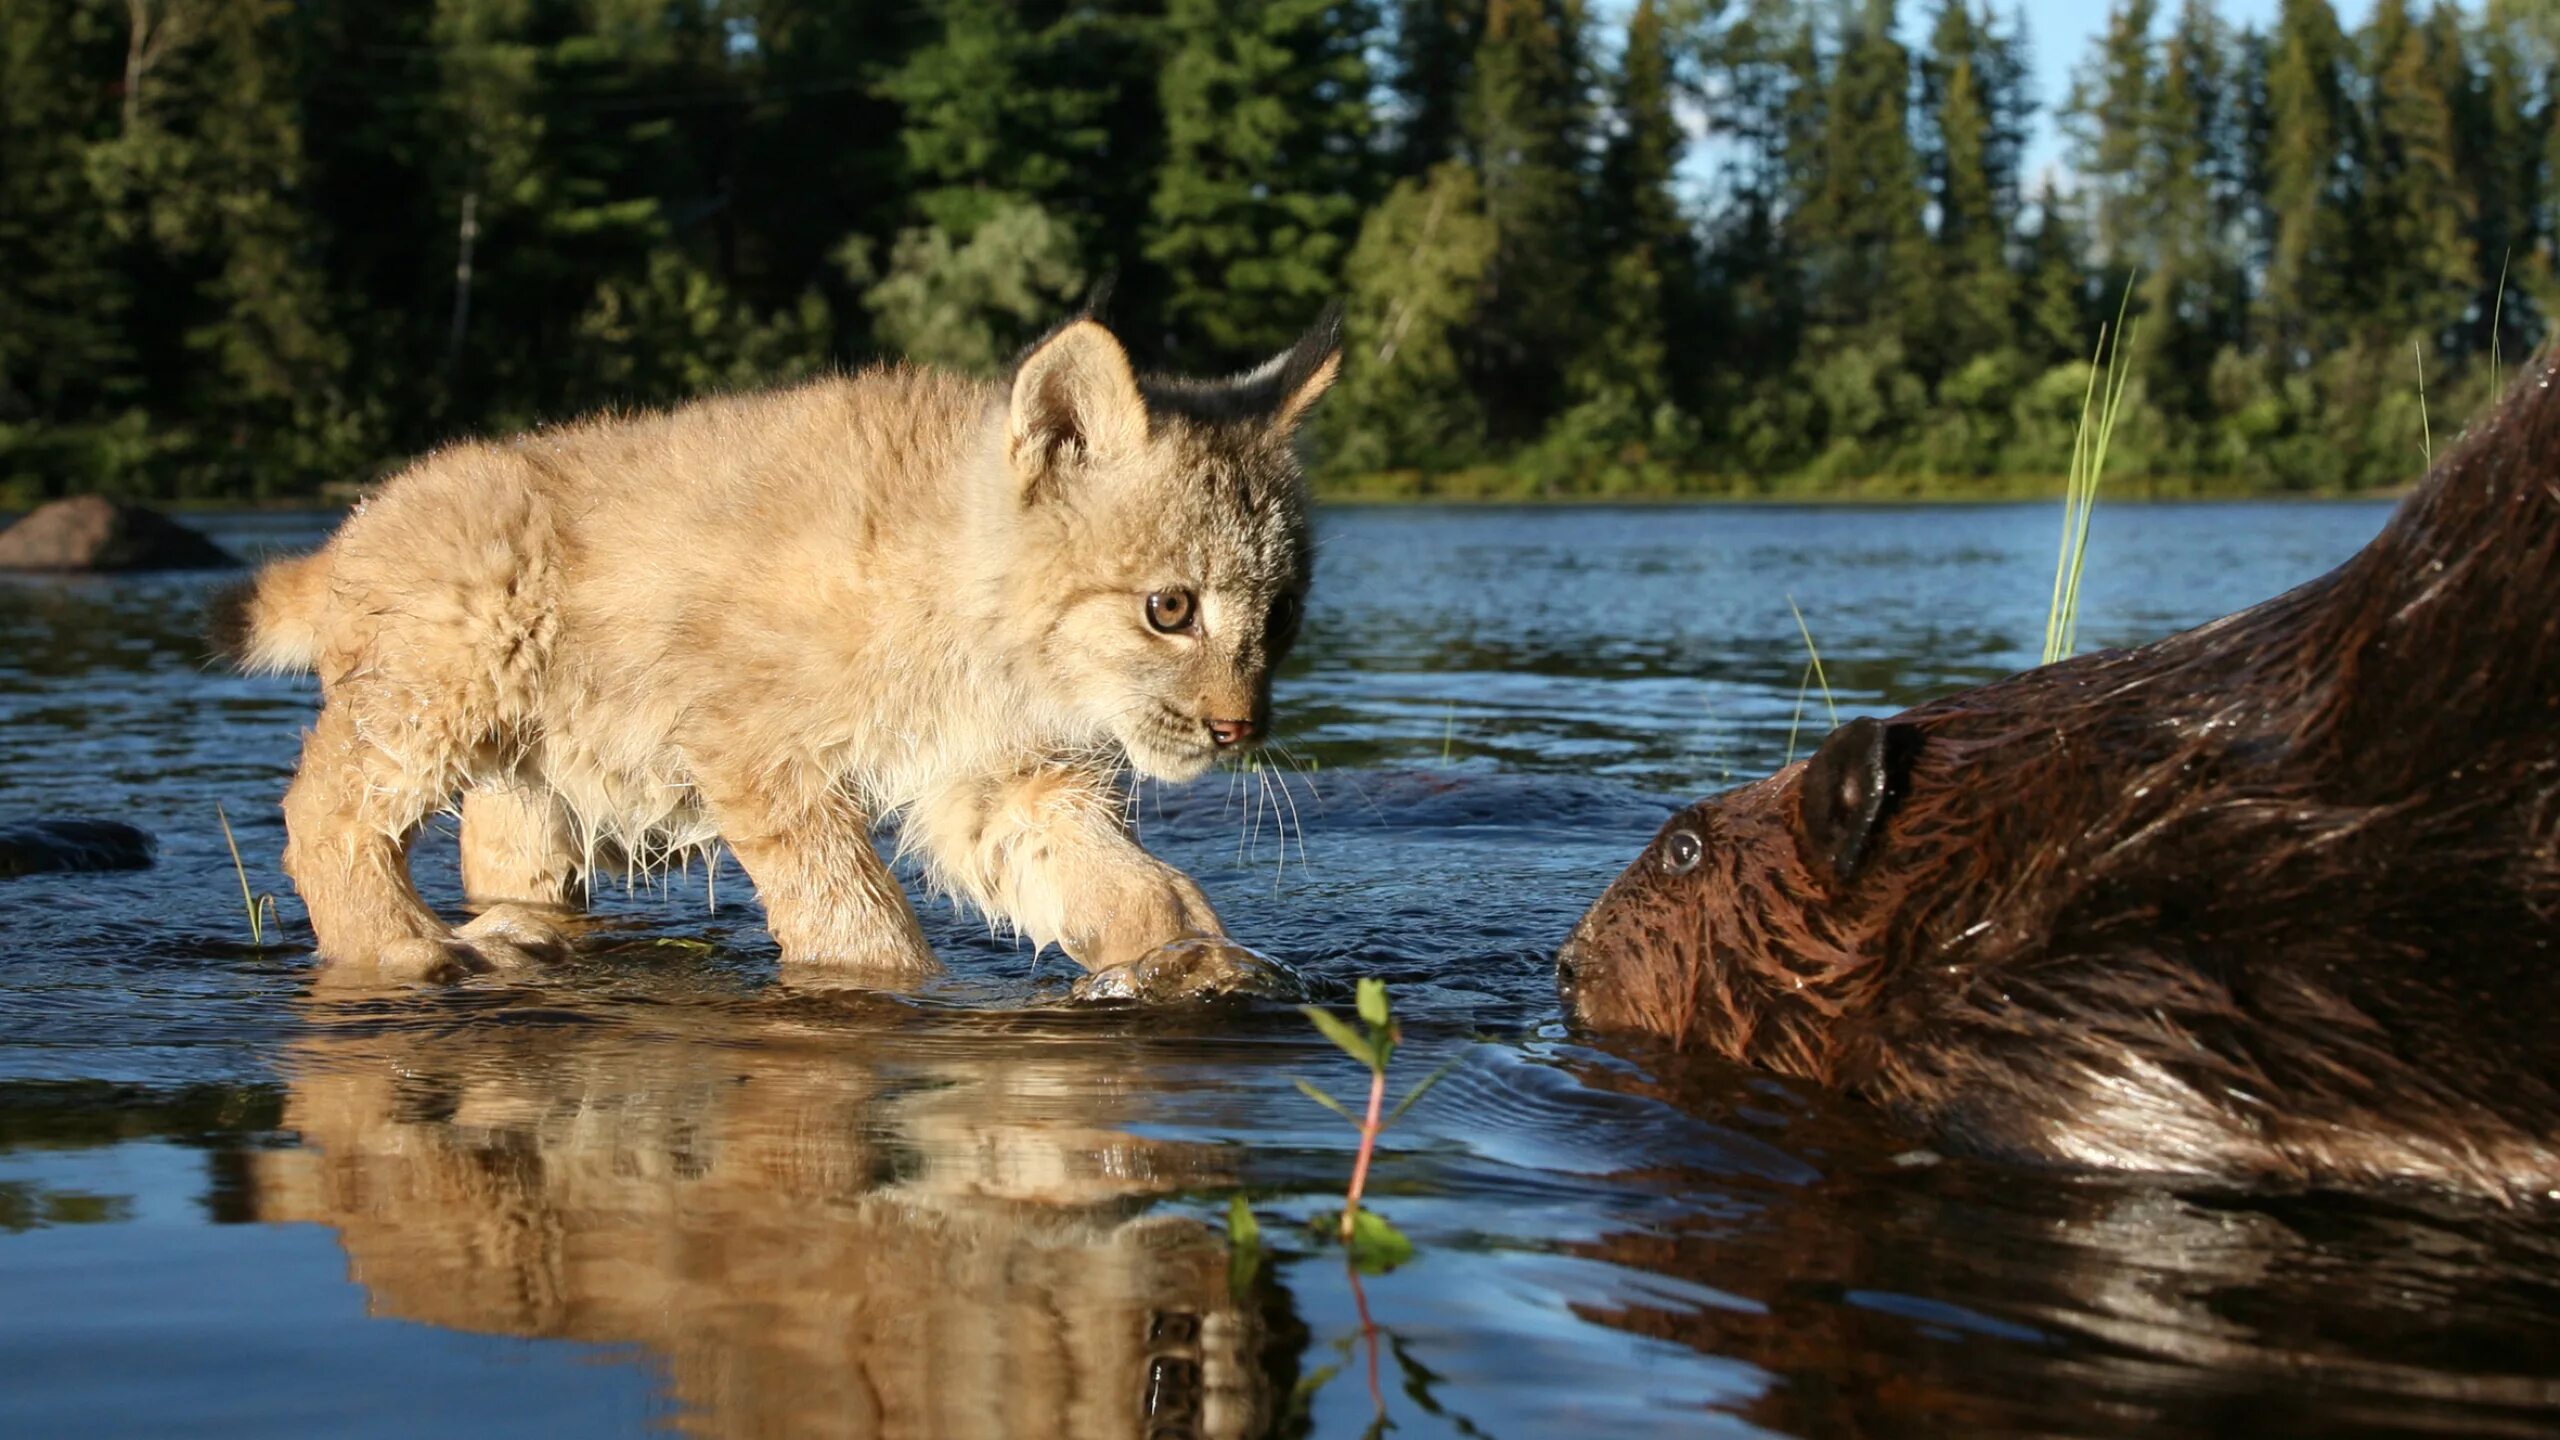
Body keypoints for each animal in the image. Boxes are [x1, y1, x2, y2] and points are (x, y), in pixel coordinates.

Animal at [217, 312, 1341, 973]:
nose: (1240, 730)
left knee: (503, 857)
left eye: (1283, 613)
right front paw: (886, 985)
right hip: (450, 680)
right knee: (320, 808)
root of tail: (359, 516)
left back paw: (518, 937)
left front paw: (1188, 954)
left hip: (532, 777)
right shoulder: (755, 749)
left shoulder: (993, 777)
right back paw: (404, 951)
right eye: (1170, 609)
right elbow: (852, 912)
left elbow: (1106, 874)